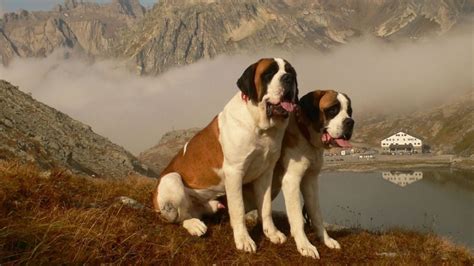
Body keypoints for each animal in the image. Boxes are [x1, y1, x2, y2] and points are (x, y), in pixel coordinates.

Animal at [154, 58, 298, 254]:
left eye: (291, 71)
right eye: (269, 73)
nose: (288, 78)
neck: (261, 127)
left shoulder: (266, 173)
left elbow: (266, 206)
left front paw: (272, 233)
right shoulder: (234, 172)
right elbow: (238, 209)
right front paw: (244, 240)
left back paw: (212, 207)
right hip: (172, 179)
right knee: (182, 216)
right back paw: (194, 224)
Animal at [246, 89, 354, 258]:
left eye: (349, 111)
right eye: (333, 110)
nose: (350, 122)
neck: (306, 135)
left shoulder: (310, 181)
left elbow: (316, 214)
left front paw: (326, 240)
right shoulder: (291, 181)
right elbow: (297, 217)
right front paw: (305, 246)